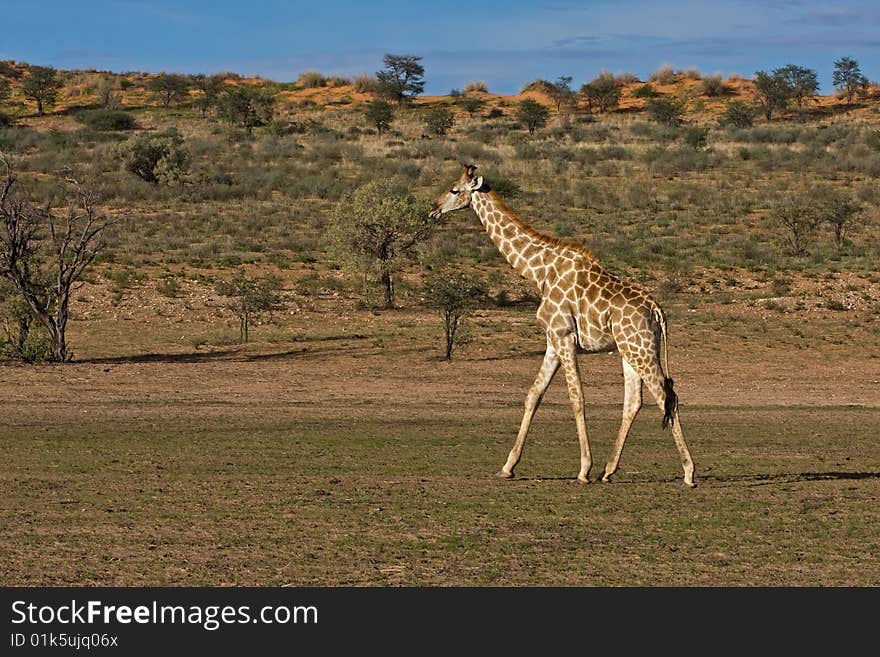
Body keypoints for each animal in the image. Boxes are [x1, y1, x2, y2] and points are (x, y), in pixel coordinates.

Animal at [430, 165, 696, 486]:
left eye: (455, 189)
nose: (432, 209)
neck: (539, 271)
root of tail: (657, 311)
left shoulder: (564, 335)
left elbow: (576, 397)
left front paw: (583, 469)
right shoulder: (552, 340)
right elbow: (533, 394)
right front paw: (507, 466)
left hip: (639, 348)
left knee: (666, 397)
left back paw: (688, 472)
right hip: (631, 349)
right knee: (635, 401)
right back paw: (609, 470)